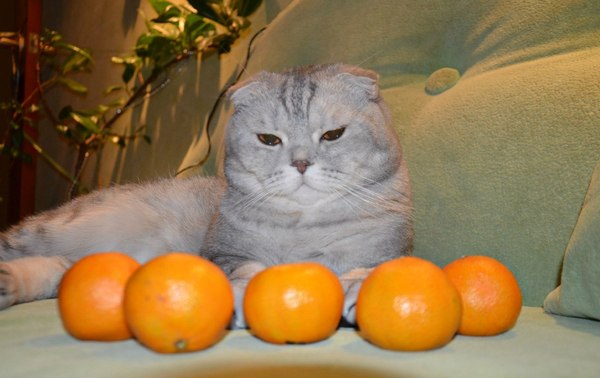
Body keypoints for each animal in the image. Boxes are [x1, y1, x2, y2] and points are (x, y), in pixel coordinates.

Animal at [0, 63, 412, 326]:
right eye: (269, 139)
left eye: (333, 135)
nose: (300, 164)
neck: (302, 227)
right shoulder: (221, 253)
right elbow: (247, 269)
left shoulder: (386, 251)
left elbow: (370, 268)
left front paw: (355, 288)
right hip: (57, 229)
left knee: (57, 269)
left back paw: (9, 284)